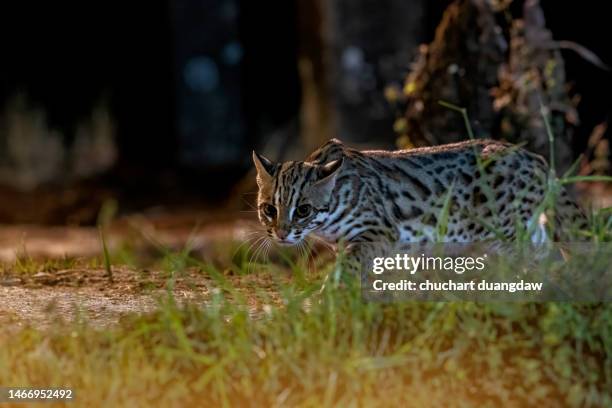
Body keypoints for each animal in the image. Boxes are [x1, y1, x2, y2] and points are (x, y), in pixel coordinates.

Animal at [253, 139, 588, 272]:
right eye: (269, 209)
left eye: (303, 210)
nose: (281, 234)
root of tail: (535, 158)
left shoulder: (378, 232)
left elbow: (349, 266)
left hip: (505, 232)